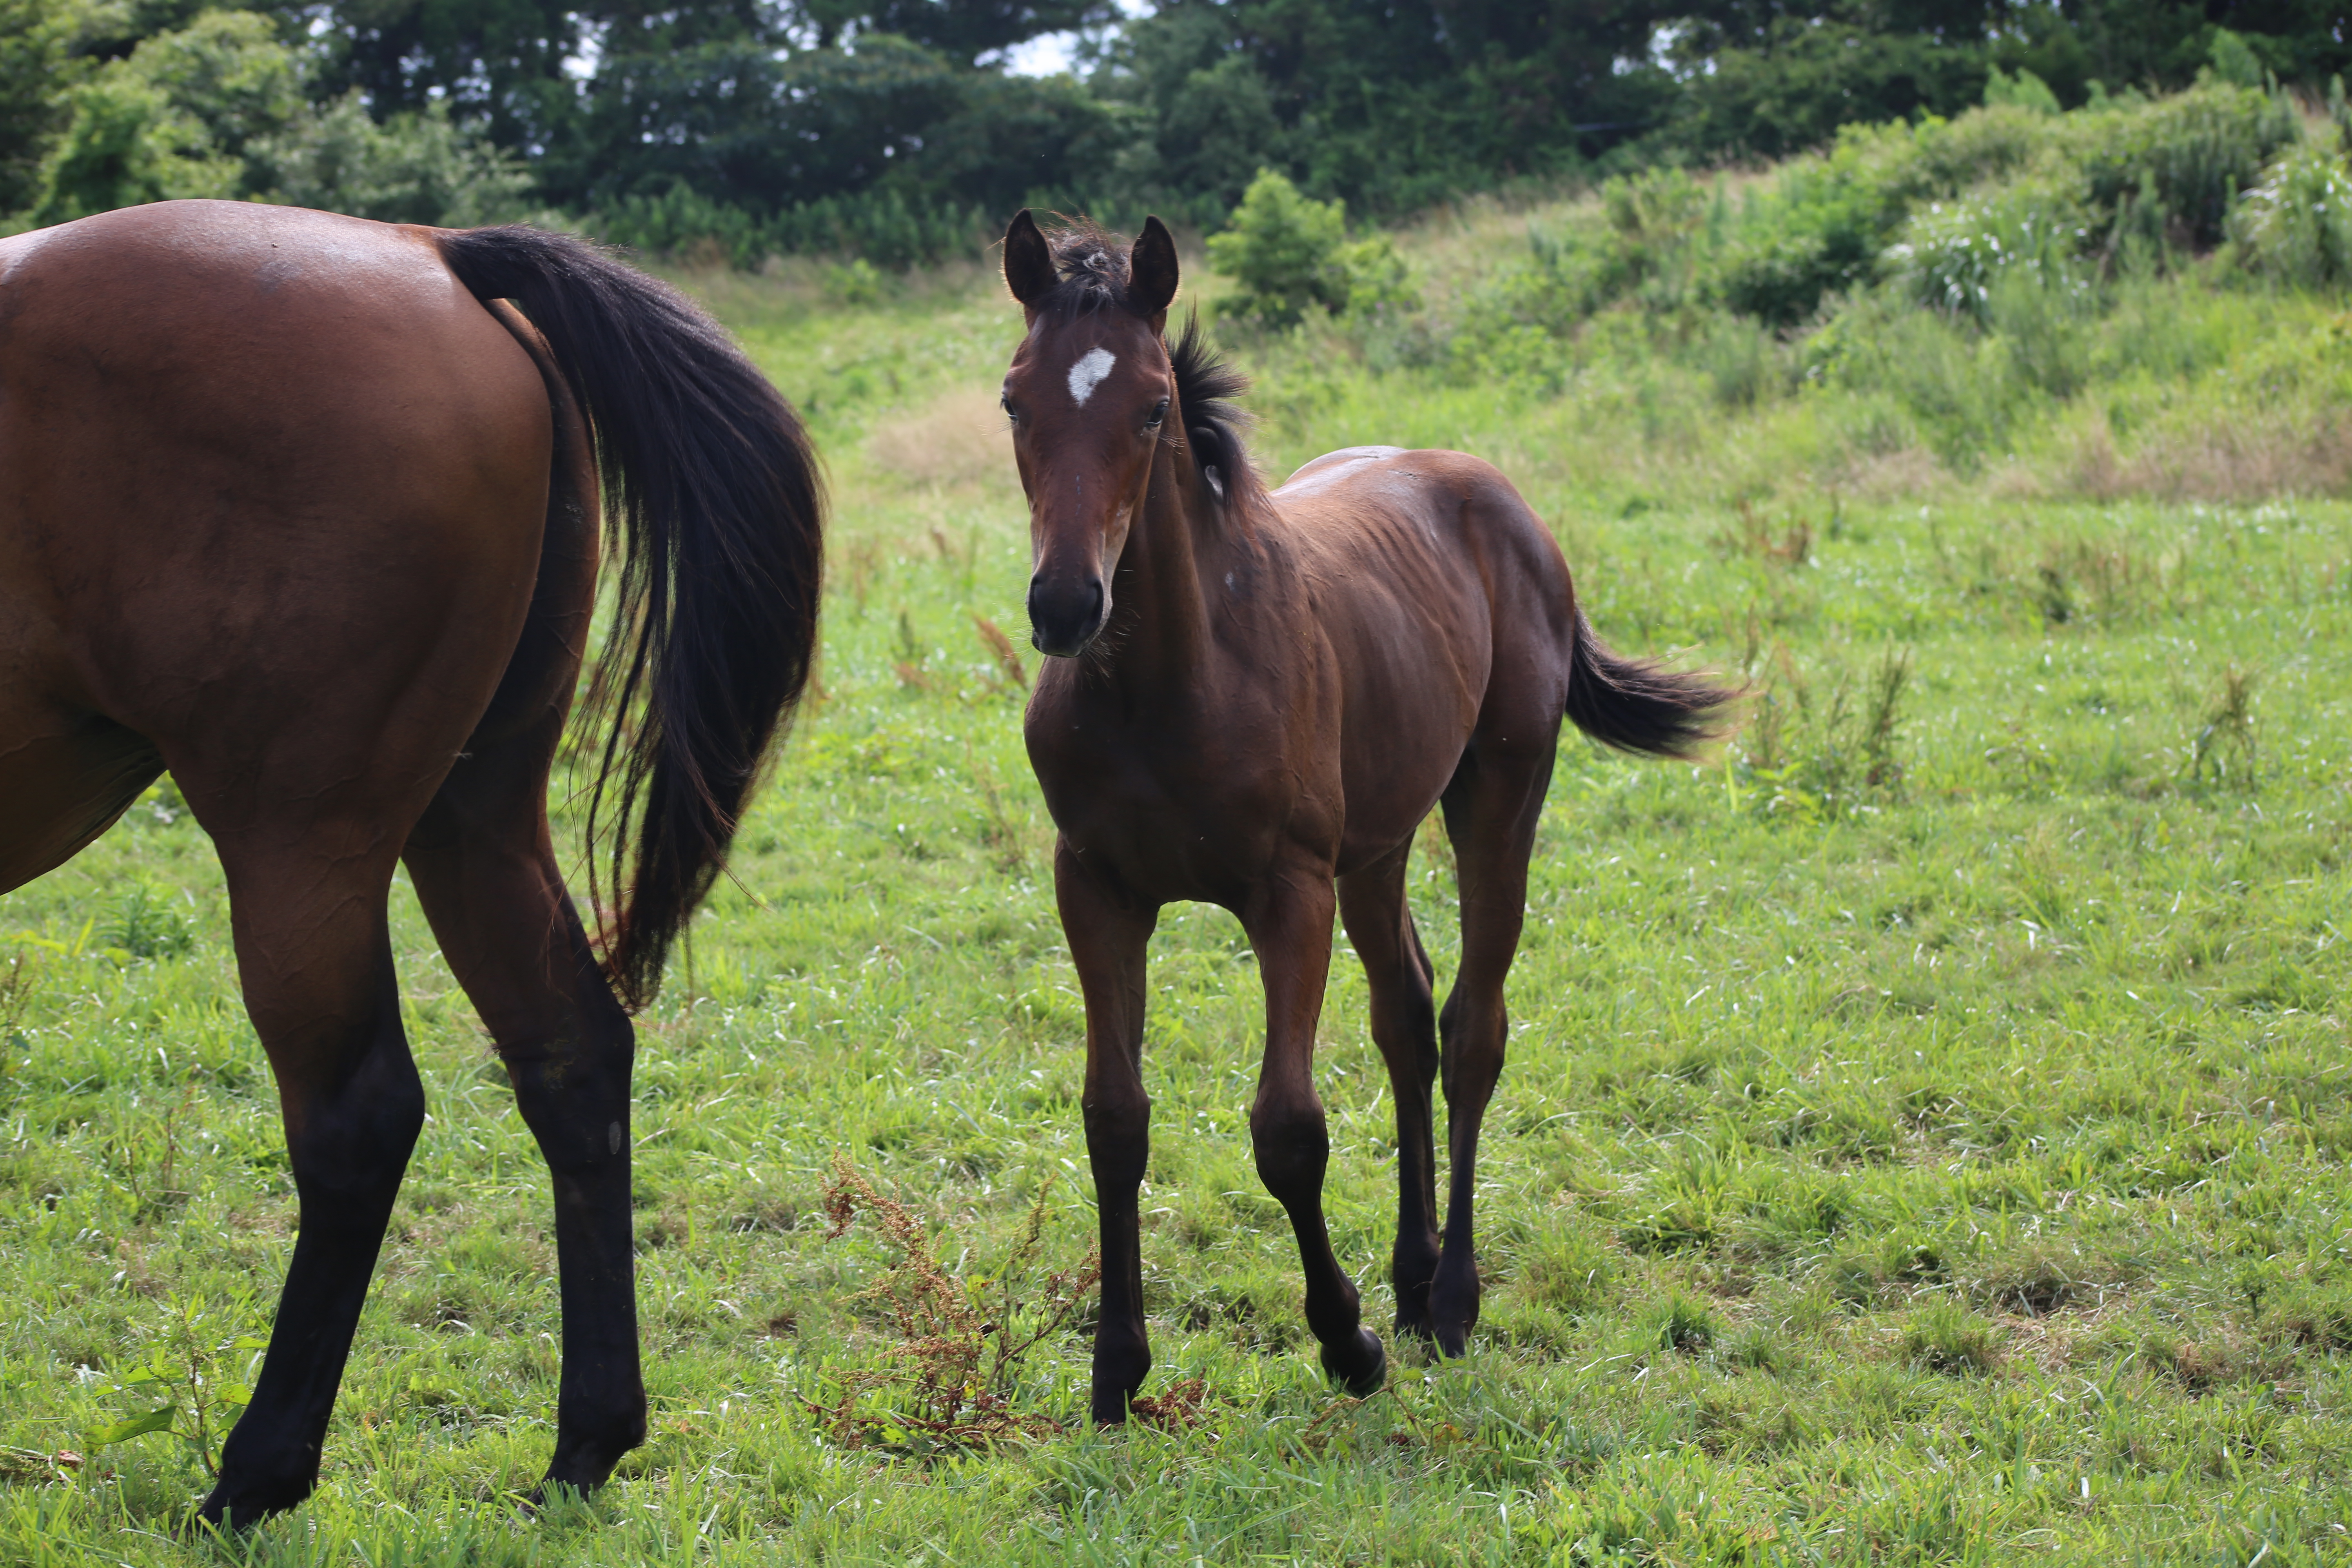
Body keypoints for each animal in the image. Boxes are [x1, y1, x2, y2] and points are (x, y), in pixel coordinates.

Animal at [0, 202, 823, 1523]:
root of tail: (436, 250)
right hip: (474, 816)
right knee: (570, 1054)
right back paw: (585, 1441)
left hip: (300, 846)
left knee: (359, 1119)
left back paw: (257, 1471)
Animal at [992, 212, 1731, 1420]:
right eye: (1015, 400)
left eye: (1150, 407)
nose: (1064, 605)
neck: (1168, 685)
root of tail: (1497, 496)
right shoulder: (1093, 886)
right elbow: (1113, 1118)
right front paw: (1116, 1368)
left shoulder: (1285, 889)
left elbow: (1287, 1130)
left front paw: (1346, 1343)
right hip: (1375, 846)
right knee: (1406, 1014)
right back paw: (1412, 1271)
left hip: (1498, 794)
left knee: (1471, 1025)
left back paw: (1451, 1298)